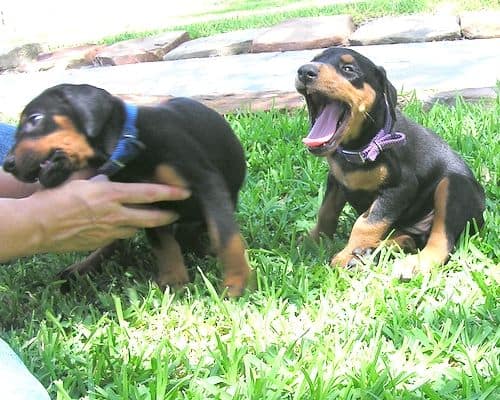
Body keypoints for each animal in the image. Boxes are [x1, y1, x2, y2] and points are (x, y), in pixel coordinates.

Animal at [4, 83, 250, 296]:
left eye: (35, 119)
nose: (7, 164)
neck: (128, 146)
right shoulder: (149, 204)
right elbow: (164, 245)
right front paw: (174, 282)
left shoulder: (206, 184)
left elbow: (225, 235)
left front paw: (236, 283)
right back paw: (84, 266)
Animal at [296, 47, 484, 278]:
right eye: (314, 60)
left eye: (348, 69)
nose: (305, 71)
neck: (365, 144)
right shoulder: (336, 180)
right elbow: (326, 212)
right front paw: (314, 241)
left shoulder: (399, 188)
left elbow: (367, 223)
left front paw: (346, 255)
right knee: (412, 239)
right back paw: (372, 251)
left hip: (454, 185)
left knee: (441, 241)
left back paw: (413, 263)